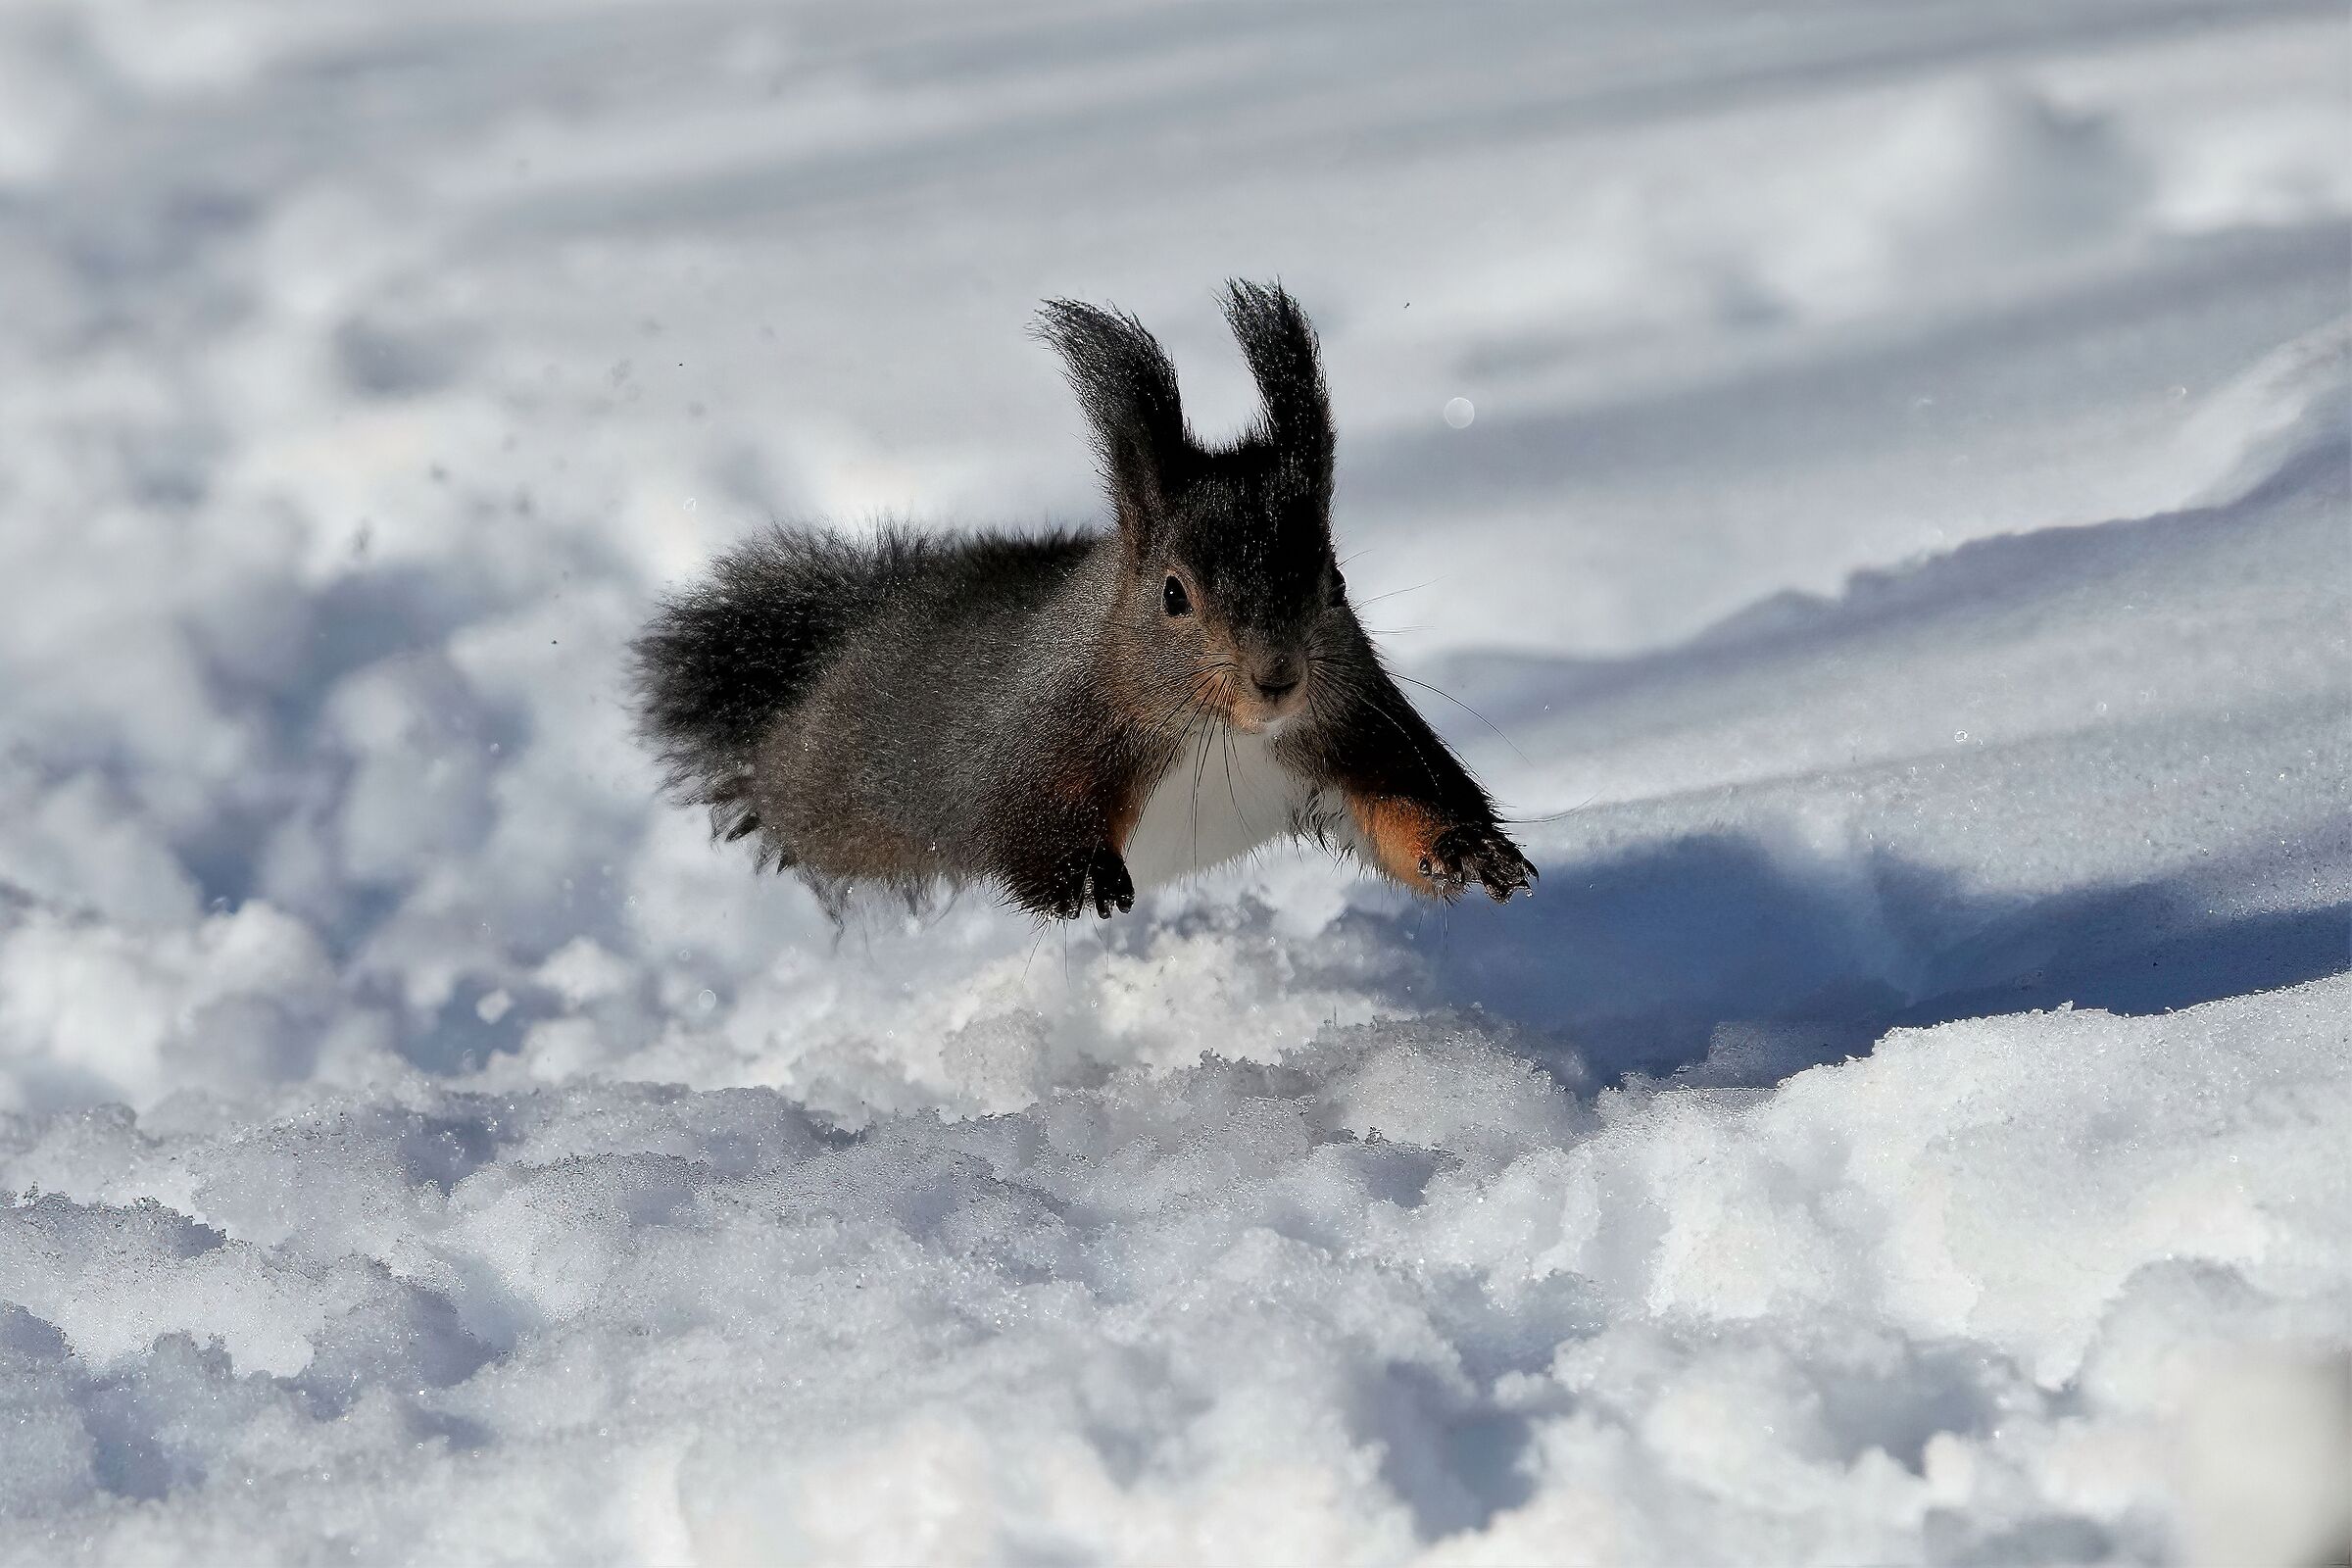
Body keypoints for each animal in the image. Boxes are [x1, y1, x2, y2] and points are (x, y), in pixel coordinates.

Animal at [632, 280, 1536, 921]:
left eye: (1334, 583)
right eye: (1173, 596)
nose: (1277, 679)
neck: (1226, 734)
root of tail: (854, 633)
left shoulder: (1352, 730)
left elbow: (1401, 808)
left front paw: (1472, 850)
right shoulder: (1043, 738)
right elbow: (1026, 822)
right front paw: (1088, 880)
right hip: (839, 798)